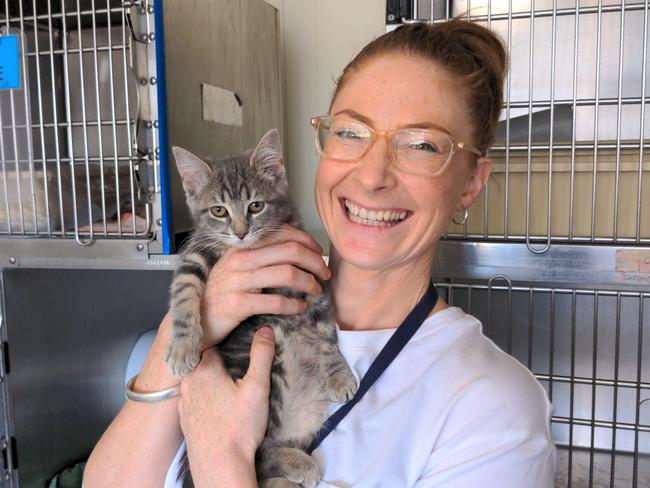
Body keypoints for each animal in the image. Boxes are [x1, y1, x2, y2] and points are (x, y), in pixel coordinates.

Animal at [165, 127, 356, 486]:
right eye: (218, 211)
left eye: (256, 205)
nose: (241, 233)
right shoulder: (195, 253)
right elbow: (183, 291)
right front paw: (182, 348)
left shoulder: (313, 276)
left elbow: (326, 330)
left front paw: (338, 374)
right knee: (257, 451)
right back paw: (295, 465)